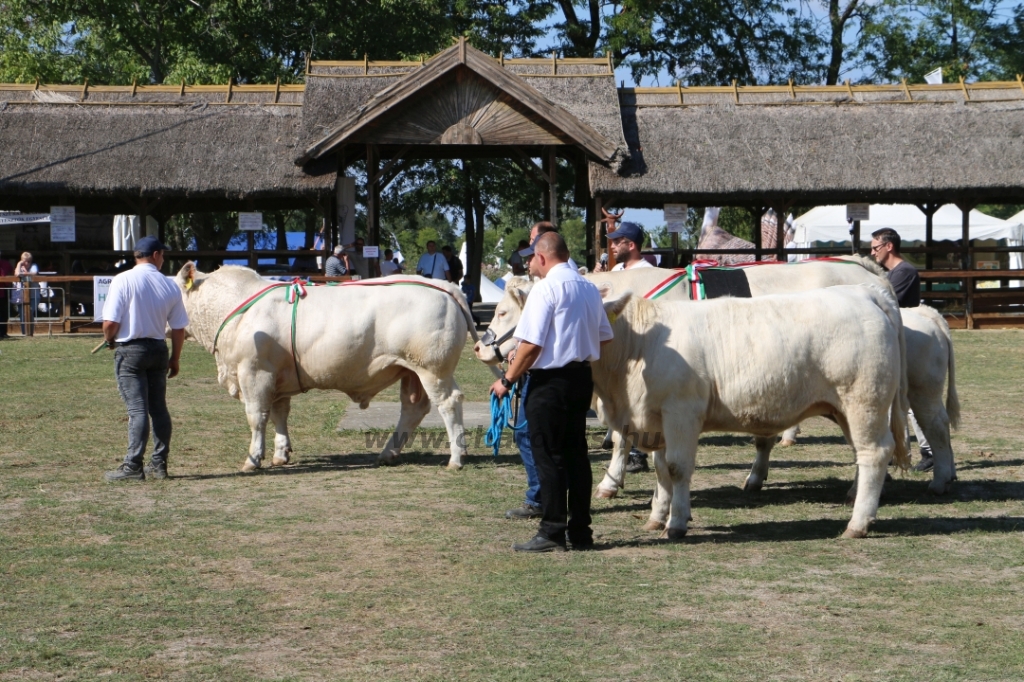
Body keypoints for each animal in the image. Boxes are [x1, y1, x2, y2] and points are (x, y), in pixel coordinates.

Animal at [175, 262, 475, 471]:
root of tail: (445, 287)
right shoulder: (276, 376)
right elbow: (279, 415)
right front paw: (281, 453)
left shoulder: (254, 372)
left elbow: (256, 416)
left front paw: (253, 458)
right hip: (412, 371)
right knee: (415, 408)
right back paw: (390, 453)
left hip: (432, 369)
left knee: (448, 403)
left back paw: (455, 459)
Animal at [475, 280, 909, 536]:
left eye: (503, 312)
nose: (480, 346)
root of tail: (863, 292)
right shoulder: (655, 419)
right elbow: (659, 469)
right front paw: (657, 515)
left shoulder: (681, 411)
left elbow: (678, 468)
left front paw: (678, 522)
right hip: (847, 408)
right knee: (864, 455)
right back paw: (857, 503)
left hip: (864, 399)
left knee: (874, 453)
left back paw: (857, 523)